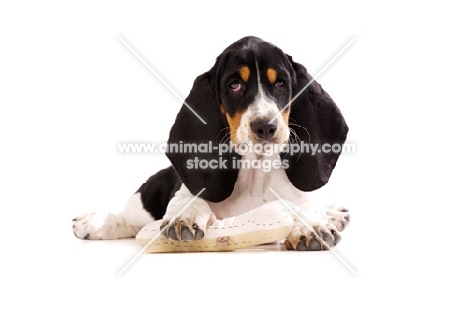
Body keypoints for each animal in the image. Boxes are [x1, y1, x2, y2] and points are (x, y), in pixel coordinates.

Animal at [73, 36, 350, 251]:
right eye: (234, 85)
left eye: (281, 82)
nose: (265, 126)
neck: (254, 174)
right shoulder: (183, 192)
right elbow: (190, 198)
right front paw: (184, 216)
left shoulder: (299, 197)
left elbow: (309, 207)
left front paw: (312, 227)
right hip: (142, 202)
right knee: (127, 219)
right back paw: (95, 223)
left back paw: (335, 214)